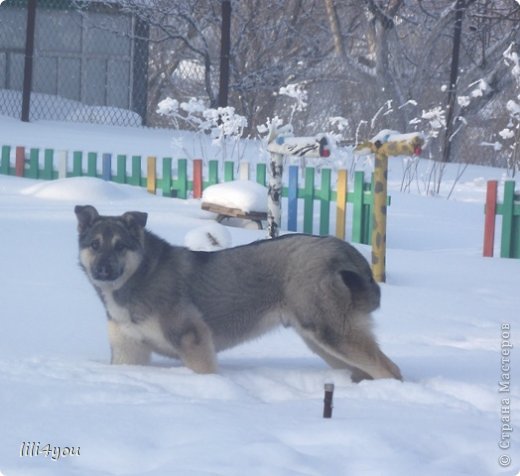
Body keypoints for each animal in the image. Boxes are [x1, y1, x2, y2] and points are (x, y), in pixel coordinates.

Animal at [74, 205, 402, 384]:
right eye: (94, 244)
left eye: (120, 246)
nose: (103, 269)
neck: (140, 276)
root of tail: (340, 247)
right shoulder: (129, 351)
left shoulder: (194, 341)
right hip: (322, 342)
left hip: (332, 333)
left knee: (391, 369)